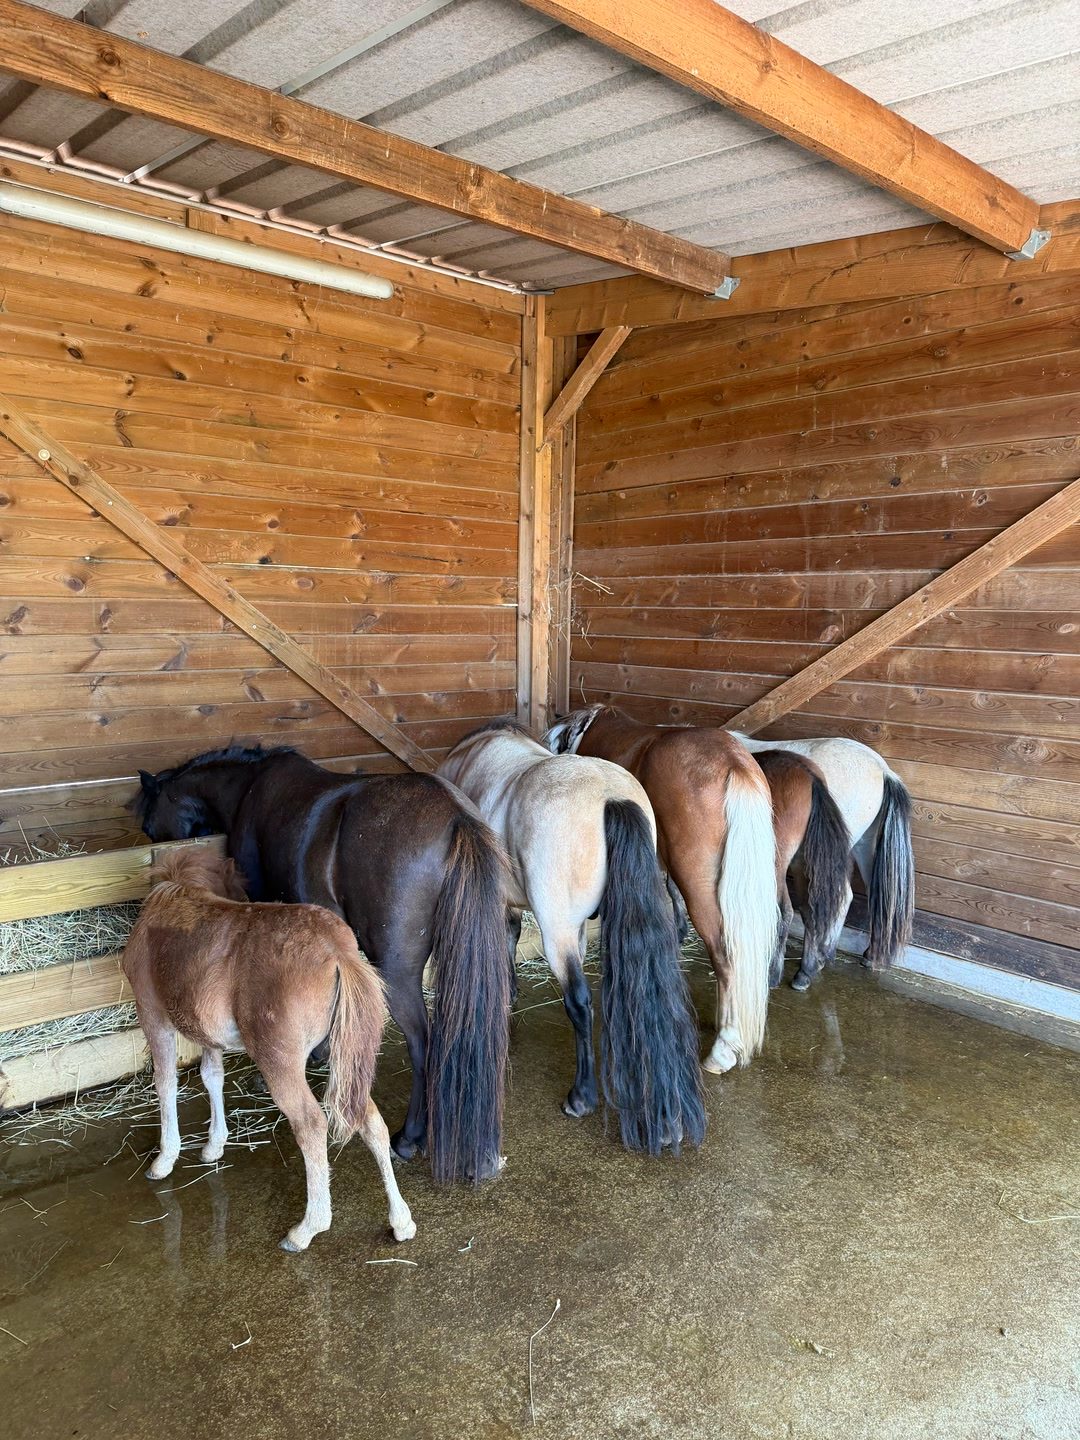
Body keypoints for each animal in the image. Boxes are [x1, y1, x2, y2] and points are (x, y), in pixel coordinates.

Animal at [121, 848, 416, 1252]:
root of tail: (337, 951)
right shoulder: (206, 1033)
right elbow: (211, 1076)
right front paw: (214, 1146)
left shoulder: (153, 1016)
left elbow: (165, 1084)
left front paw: (164, 1160)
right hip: (346, 1057)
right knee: (369, 1120)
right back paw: (401, 1221)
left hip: (279, 1059)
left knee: (311, 1123)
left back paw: (307, 1228)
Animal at [134, 744, 510, 1185]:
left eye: (149, 825)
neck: (248, 786)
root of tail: (455, 818)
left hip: (395, 971)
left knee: (423, 1043)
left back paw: (409, 1137)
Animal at [728, 733, 914, 968]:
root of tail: (882, 769)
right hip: (863, 846)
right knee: (876, 896)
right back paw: (867, 956)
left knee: (840, 897)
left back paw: (820, 955)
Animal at [752, 750, 852, 992]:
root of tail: (809, 777)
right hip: (802, 866)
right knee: (809, 911)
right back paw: (805, 971)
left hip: (777, 864)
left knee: (784, 911)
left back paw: (773, 973)